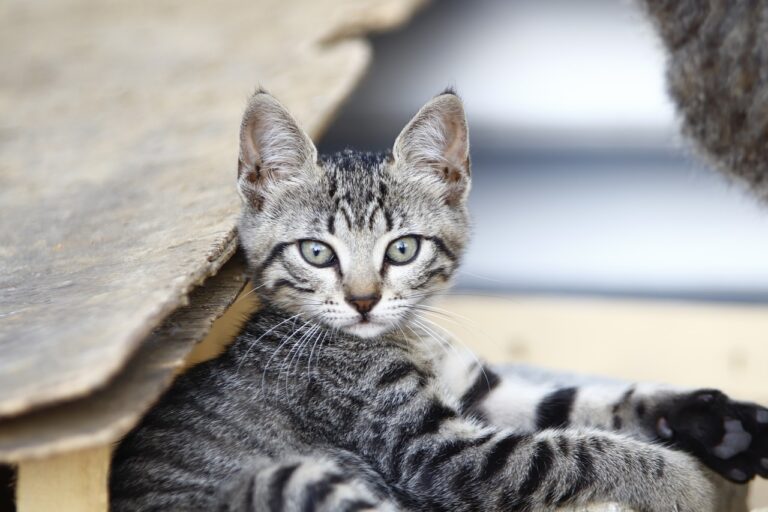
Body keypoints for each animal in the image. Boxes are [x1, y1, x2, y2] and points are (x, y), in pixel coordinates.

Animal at [111, 90, 768, 510]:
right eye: (318, 253)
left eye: (402, 250)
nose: (364, 301)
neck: (406, 338)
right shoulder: (429, 450)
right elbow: (568, 449)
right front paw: (678, 481)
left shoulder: (483, 395)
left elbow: (583, 403)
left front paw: (717, 422)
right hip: (288, 478)